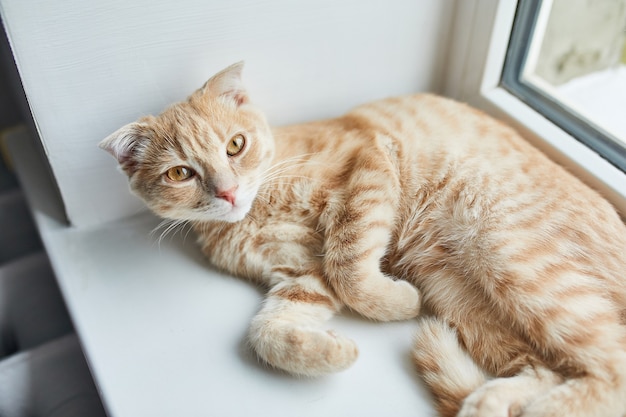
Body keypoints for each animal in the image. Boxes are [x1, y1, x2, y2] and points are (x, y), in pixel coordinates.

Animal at [98, 62, 624, 416]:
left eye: (235, 146)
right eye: (180, 173)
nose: (227, 192)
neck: (259, 209)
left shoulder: (367, 168)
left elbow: (349, 266)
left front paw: (395, 300)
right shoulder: (300, 276)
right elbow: (267, 331)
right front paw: (334, 350)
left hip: (511, 252)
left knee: (612, 366)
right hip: (462, 295)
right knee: (548, 368)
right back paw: (489, 400)